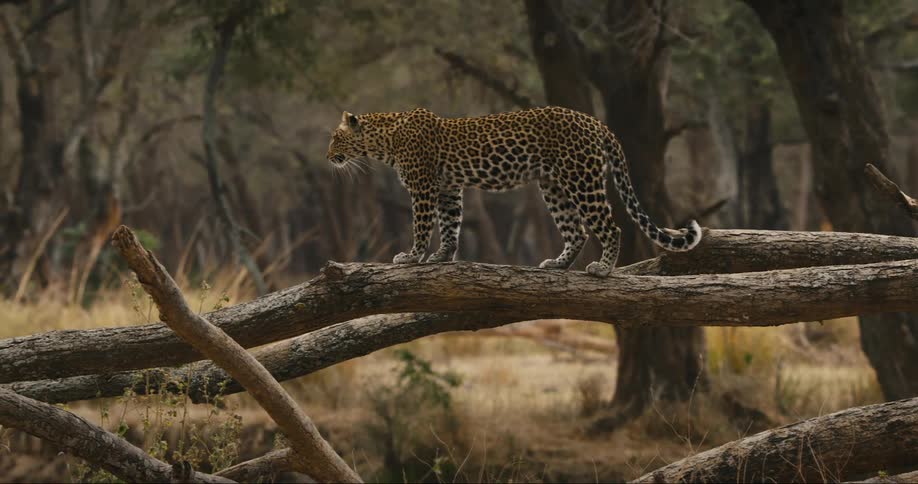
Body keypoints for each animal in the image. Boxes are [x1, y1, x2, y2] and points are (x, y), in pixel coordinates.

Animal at [326, 106, 702, 277]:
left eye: (334, 137)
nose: (328, 157)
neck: (383, 141)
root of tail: (595, 122)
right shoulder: (448, 188)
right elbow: (450, 226)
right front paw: (442, 256)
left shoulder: (423, 187)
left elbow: (421, 225)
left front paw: (412, 256)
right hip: (553, 185)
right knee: (577, 231)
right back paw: (557, 264)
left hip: (582, 179)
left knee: (610, 226)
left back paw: (603, 268)